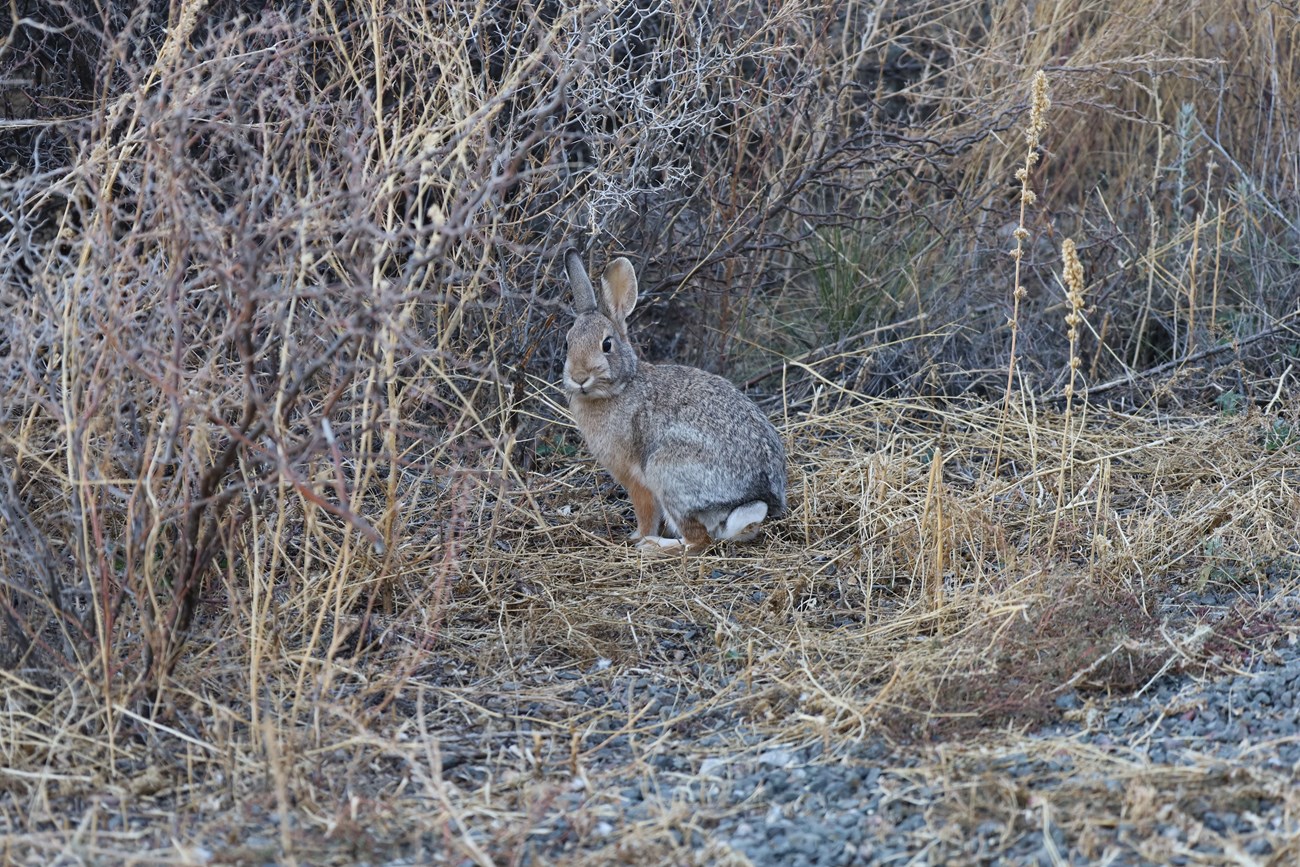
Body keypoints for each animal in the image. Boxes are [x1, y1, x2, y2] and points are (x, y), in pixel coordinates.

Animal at [561, 248, 787, 553]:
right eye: (568, 343)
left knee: (699, 540)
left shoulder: (635, 477)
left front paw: (637, 536)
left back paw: (654, 546)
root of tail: (751, 501)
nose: (579, 377)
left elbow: (646, 512)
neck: (622, 386)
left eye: (606, 345)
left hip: (666, 471)